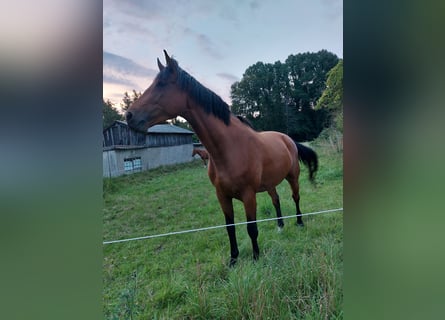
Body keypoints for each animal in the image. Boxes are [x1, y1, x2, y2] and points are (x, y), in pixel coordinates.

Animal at [126, 49, 318, 264]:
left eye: (161, 84)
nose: (129, 116)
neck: (229, 148)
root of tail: (288, 139)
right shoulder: (222, 196)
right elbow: (229, 228)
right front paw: (233, 259)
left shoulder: (249, 195)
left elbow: (252, 228)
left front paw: (255, 257)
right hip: (270, 183)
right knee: (276, 200)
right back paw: (280, 226)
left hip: (293, 177)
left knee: (295, 197)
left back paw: (299, 222)